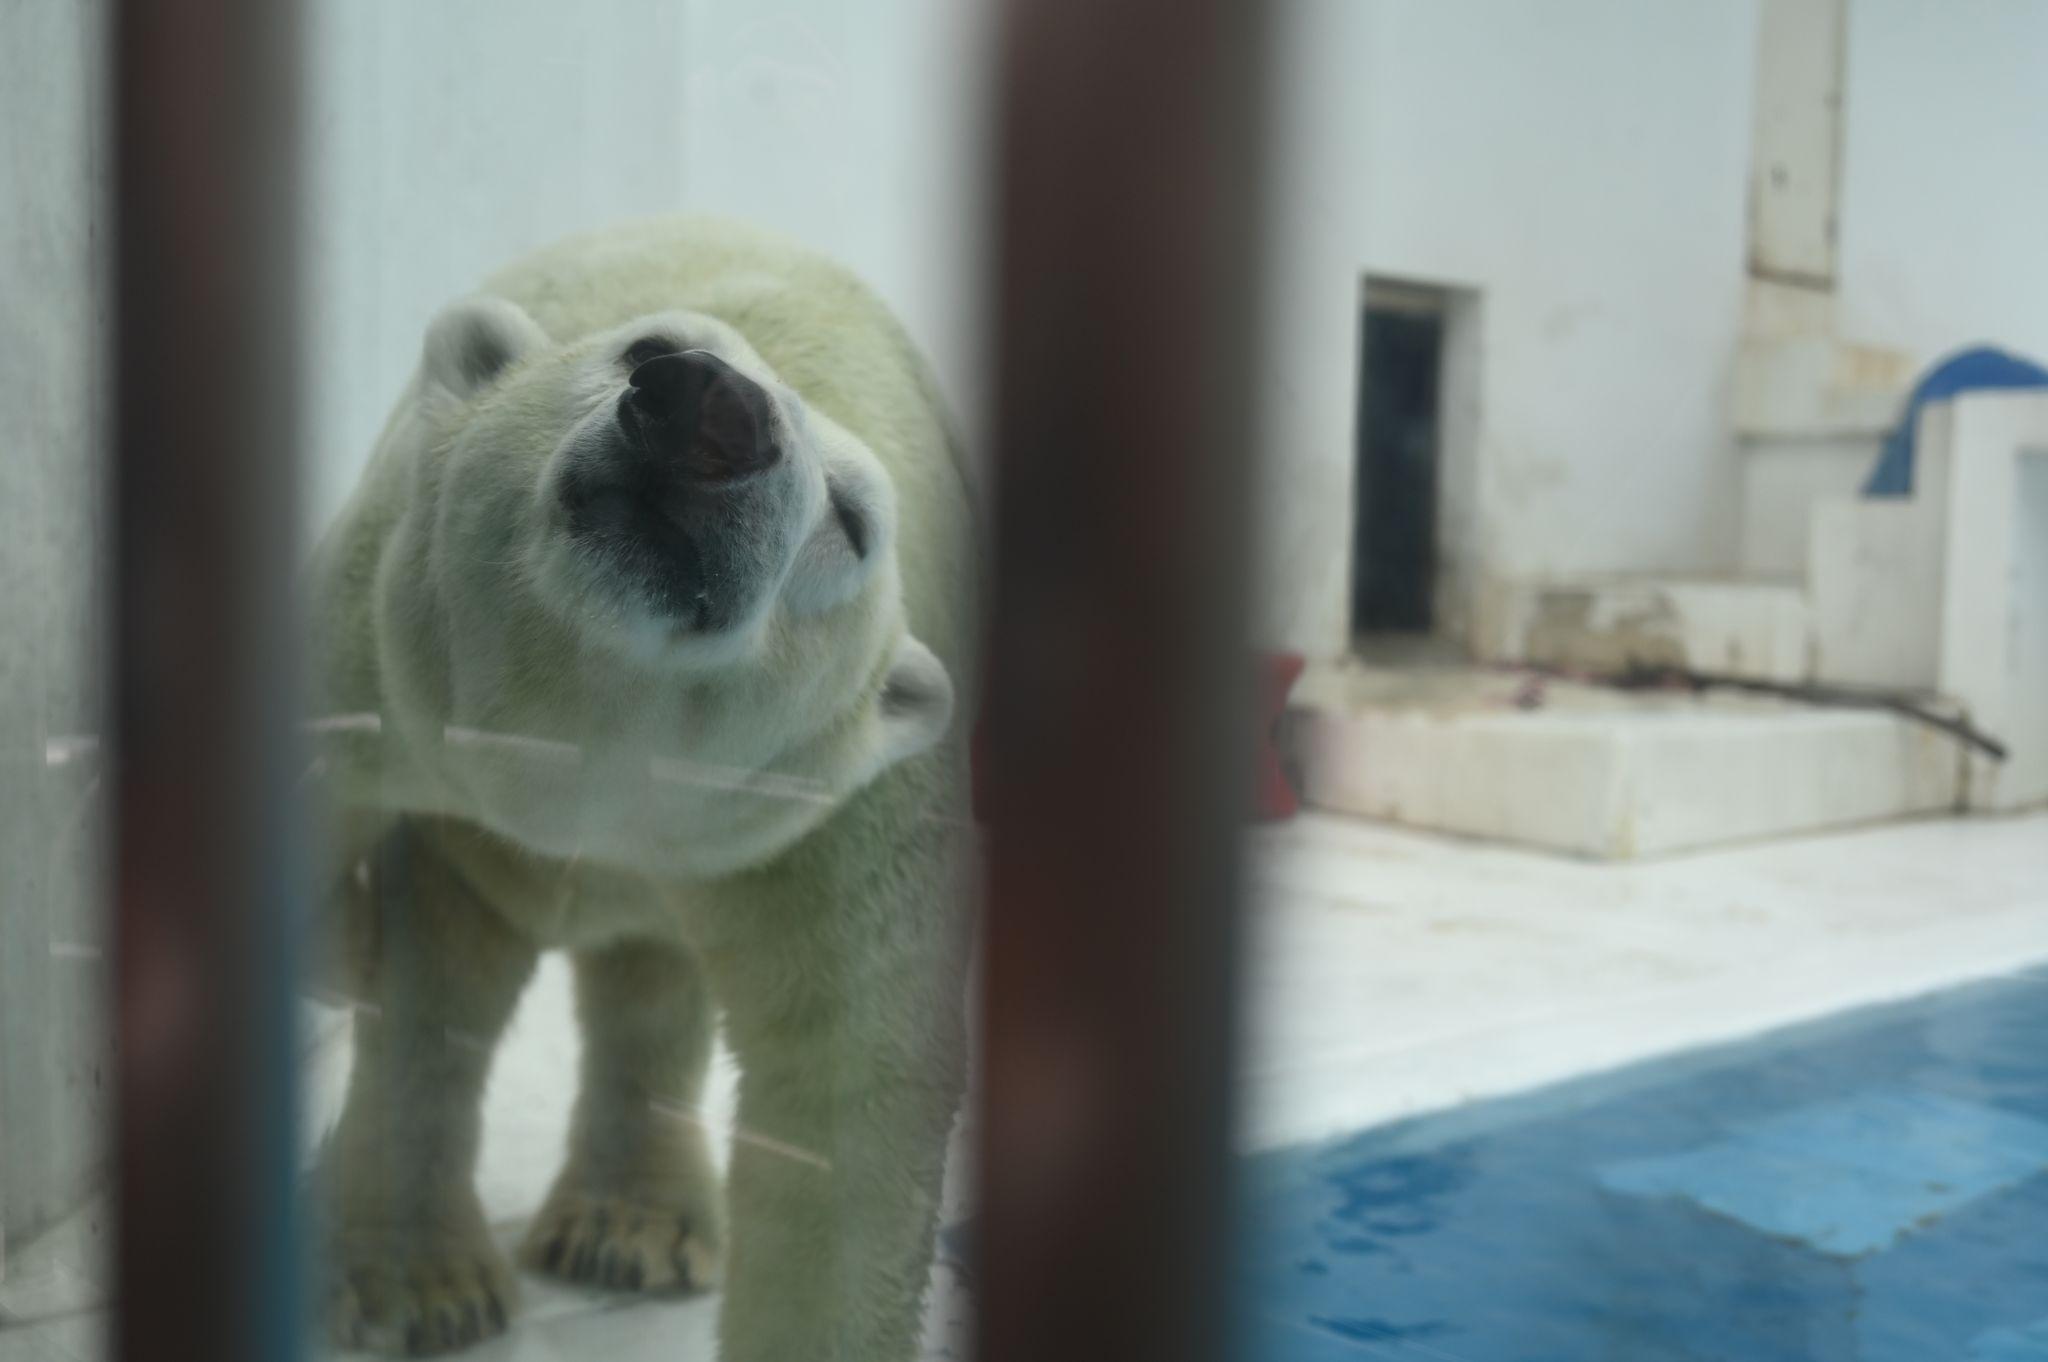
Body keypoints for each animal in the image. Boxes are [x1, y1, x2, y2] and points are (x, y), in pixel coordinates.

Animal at [305, 216, 977, 1360]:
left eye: (853, 521)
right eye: (646, 345)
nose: (710, 407)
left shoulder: (819, 824)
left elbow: (844, 1093)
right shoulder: (378, 655)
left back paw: (628, 1230)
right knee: (446, 981)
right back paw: (418, 1282)